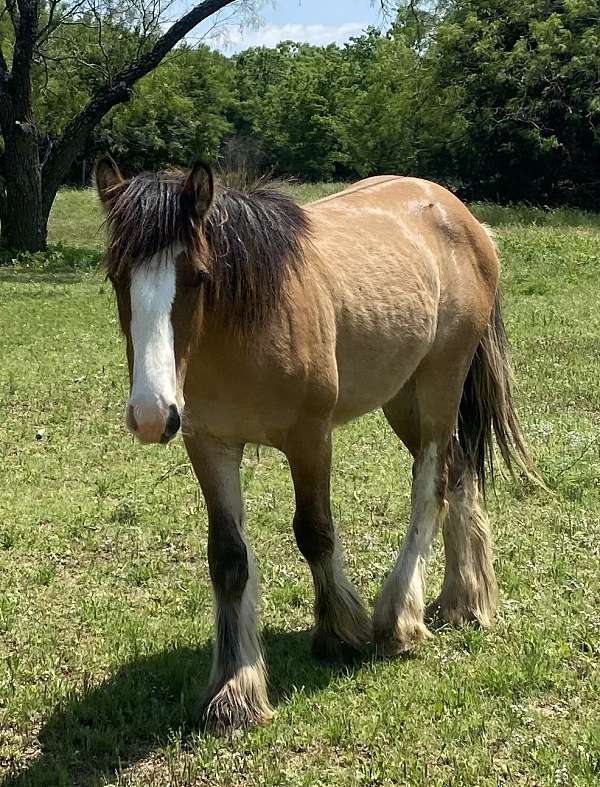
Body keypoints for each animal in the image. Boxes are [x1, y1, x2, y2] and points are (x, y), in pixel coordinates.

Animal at [95, 157, 540, 736]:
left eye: (197, 276)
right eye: (117, 277)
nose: (151, 414)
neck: (244, 324)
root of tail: (460, 216)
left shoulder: (310, 438)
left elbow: (315, 533)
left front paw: (340, 632)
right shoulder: (209, 445)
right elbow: (228, 559)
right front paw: (235, 690)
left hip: (441, 383)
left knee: (432, 487)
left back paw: (399, 617)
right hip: (404, 397)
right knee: (460, 471)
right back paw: (465, 601)